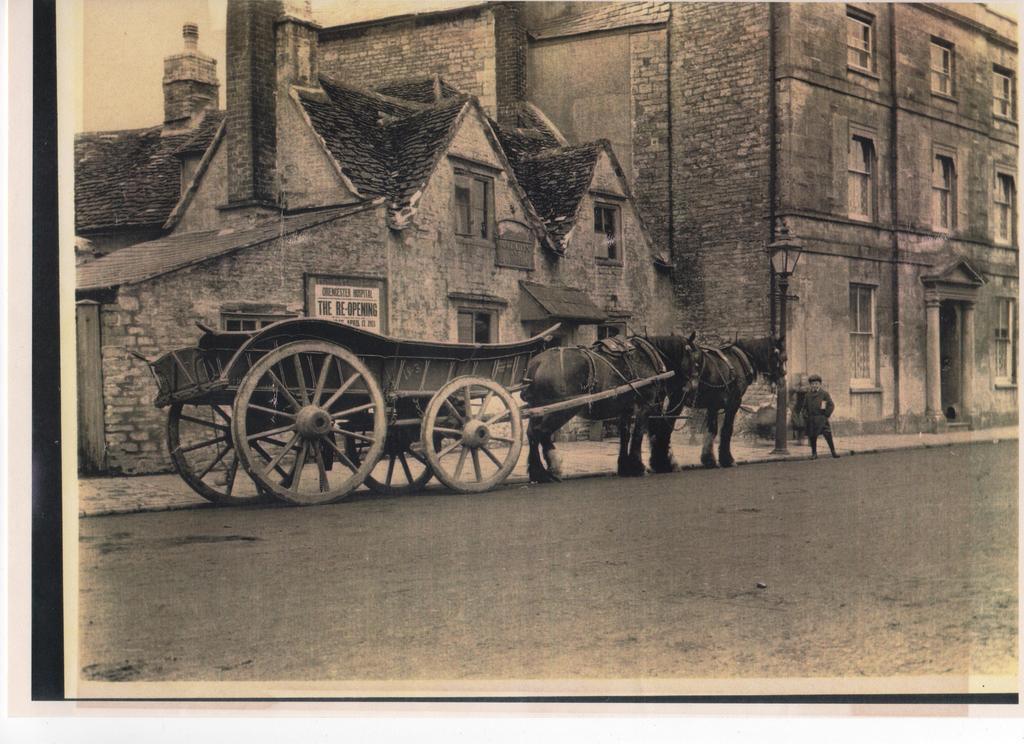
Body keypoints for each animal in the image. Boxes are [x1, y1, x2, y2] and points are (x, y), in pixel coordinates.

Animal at [524, 333, 700, 483]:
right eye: (695, 361)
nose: (693, 387)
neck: (650, 356)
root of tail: (537, 363)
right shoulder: (644, 406)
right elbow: (639, 435)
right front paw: (638, 466)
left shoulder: (626, 410)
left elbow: (625, 436)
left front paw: (624, 467)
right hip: (561, 409)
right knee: (540, 432)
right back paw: (544, 471)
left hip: (540, 409)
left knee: (534, 433)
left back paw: (541, 471)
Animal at [647, 335, 782, 468]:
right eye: (776, 354)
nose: (782, 374)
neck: (740, 359)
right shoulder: (734, 402)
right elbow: (727, 429)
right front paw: (727, 459)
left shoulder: (713, 405)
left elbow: (711, 430)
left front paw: (709, 459)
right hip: (676, 400)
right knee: (665, 427)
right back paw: (665, 463)